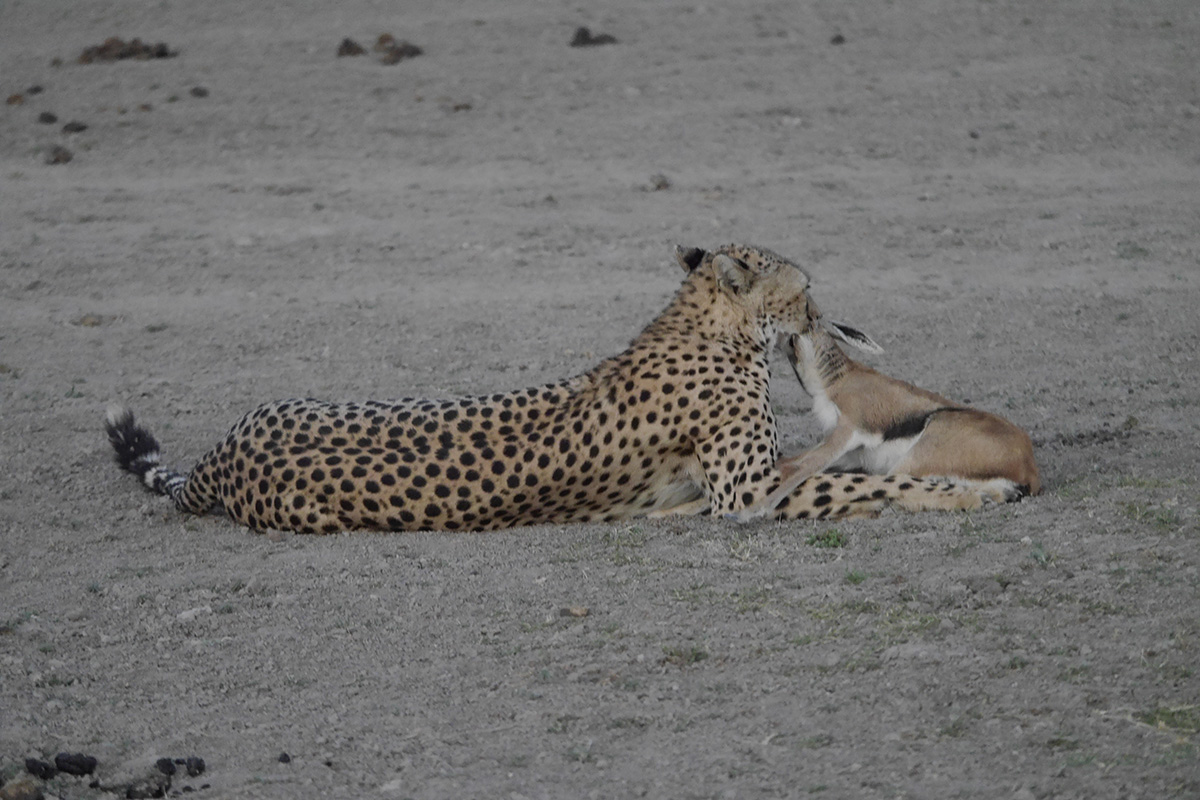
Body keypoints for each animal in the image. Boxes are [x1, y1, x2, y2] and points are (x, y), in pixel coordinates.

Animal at [106, 243, 1015, 533]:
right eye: (802, 289)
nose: (824, 312)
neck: (708, 327)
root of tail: (224, 455)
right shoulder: (743, 493)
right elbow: (854, 486)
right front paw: (972, 492)